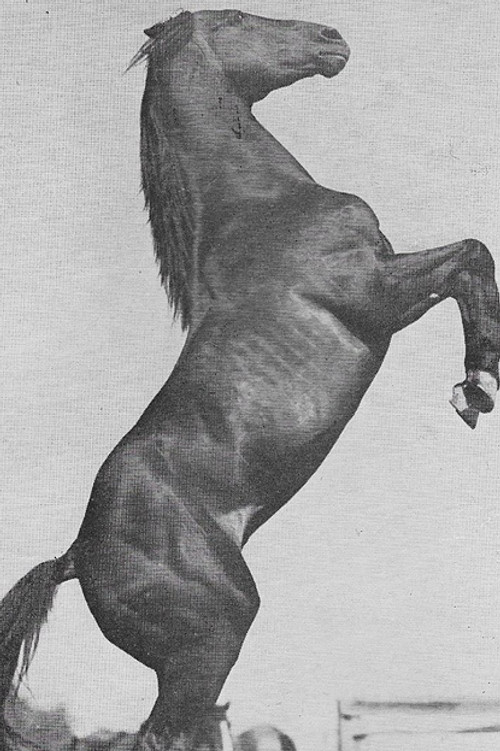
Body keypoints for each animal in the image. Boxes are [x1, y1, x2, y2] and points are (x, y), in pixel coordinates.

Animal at [1, 8, 499, 751]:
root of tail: (76, 556)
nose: (331, 38)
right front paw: (477, 383)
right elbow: (473, 254)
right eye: (235, 18)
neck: (261, 206)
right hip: (210, 644)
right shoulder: (377, 295)